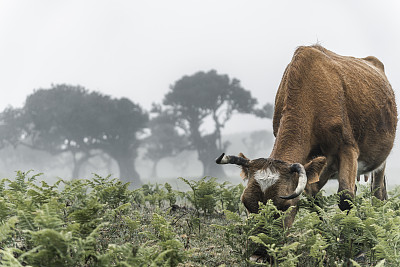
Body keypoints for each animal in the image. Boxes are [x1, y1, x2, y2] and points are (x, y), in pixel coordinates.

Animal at [217, 44, 398, 228]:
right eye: (246, 203)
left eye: (285, 206)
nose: (262, 235)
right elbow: (313, 197)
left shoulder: (347, 148)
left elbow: (345, 197)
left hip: (379, 161)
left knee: (377, 192)